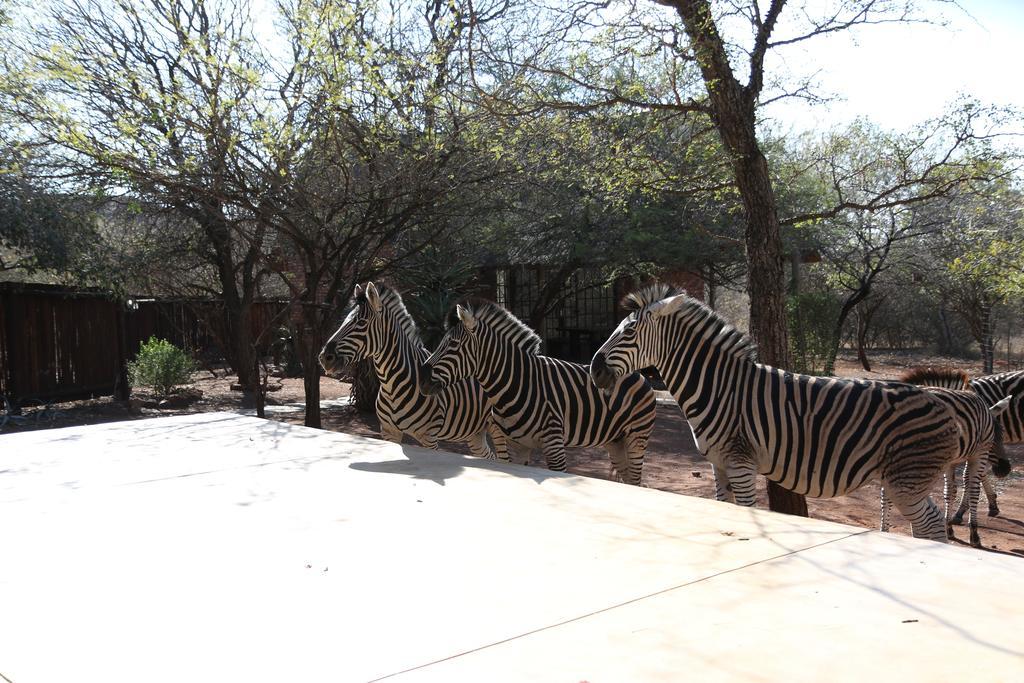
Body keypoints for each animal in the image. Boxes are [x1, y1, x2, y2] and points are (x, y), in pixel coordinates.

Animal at [315, 282, 499, 458]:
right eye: (344, 320)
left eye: (361, 323)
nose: (325, 357)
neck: (391, 386)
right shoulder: (389, 431)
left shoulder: (429, 437)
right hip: (475, 433)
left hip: (495, 427)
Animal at [421, 299, 655, 485]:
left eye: (452, 344)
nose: (422, 379)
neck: (516, 385)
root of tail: (637, 373)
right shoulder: (516, 446)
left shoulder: (554, 446)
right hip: (615, 441)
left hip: (636, 438)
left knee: (636, 480)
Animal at [589, 282, 962, 544]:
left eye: (630, 331)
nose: (595, 370)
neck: (720, 387)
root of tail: (940, 403)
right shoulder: (718, 464)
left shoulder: (741, 462)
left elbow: (747, 511)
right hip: (904, 480)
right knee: (925, 526)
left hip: (906, 481)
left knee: (931, 525)